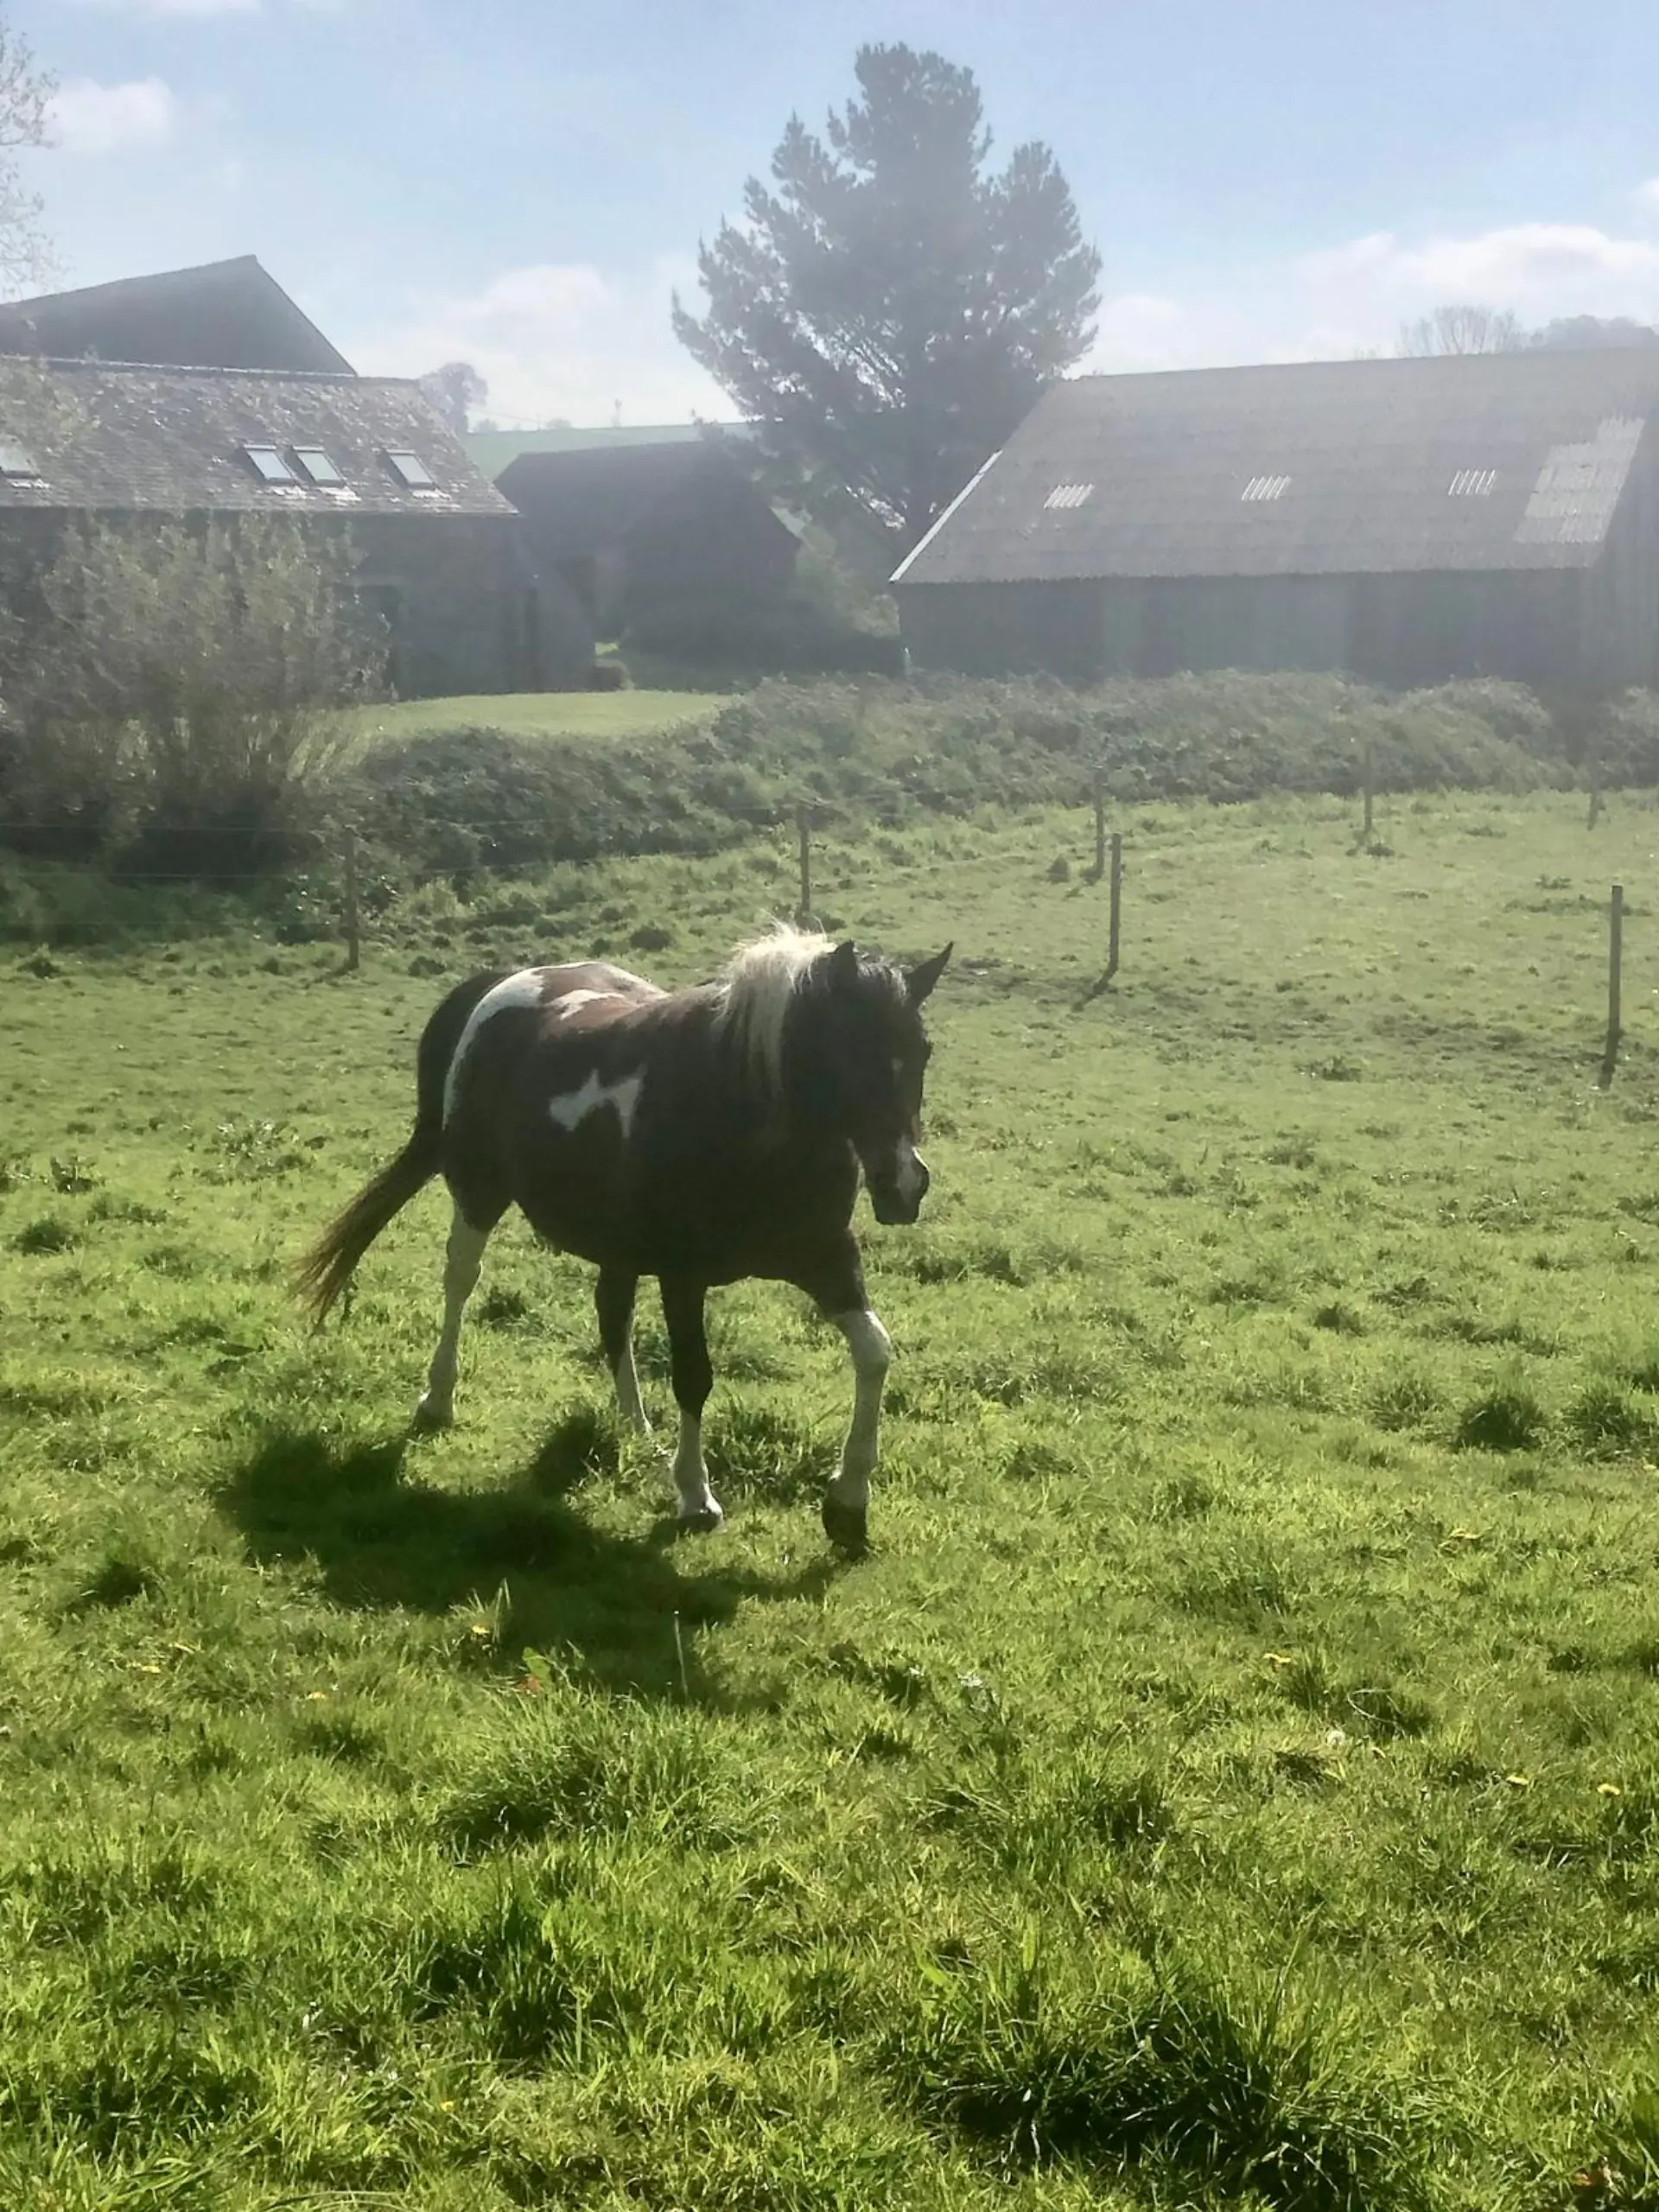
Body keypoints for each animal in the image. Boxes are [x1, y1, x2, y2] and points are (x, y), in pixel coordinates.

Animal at [294, 924, 951, 1553]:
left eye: (921, 1052)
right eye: (850, 1052)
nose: (905, 1185)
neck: (740, 1112)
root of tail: (506, 983)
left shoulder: (825, 1258)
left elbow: (875, 1353)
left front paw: (848, 1506)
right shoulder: (683, 1276)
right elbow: (694, 1376)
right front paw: (695, 1497)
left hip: (617, 1242)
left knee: (612, 1312)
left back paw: (637, 1428)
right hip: (478, 1191)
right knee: (461, 1279)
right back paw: (438, 1400)